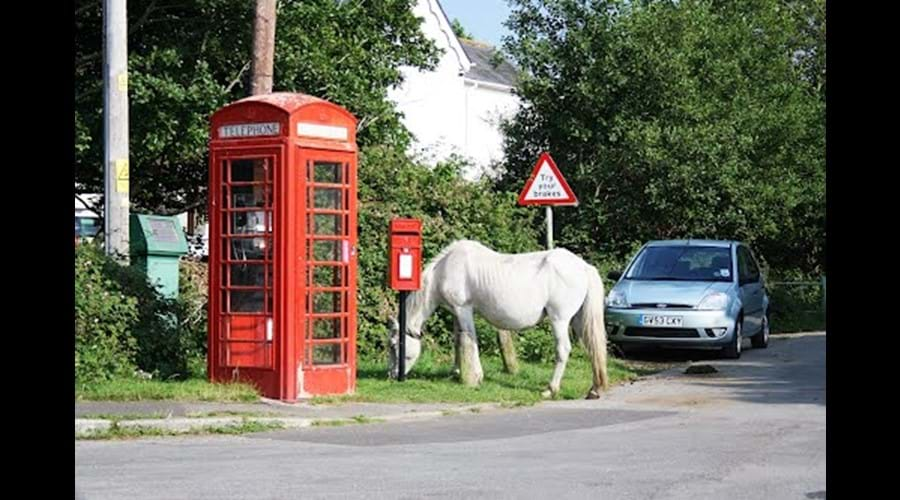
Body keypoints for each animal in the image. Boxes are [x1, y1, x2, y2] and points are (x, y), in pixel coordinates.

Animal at [388, 238, 612, 398]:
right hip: (579, 320)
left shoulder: (463, 310)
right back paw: (594, 389)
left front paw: (475, 377)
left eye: (394, 345)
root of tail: (584, 267)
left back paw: (551, 389)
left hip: (559, 319)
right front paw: (457, 371)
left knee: (563, 350)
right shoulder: (455, 313)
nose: (391, 375)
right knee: (593, 347)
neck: (446, 268)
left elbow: (470, 341)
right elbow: (458, 343)